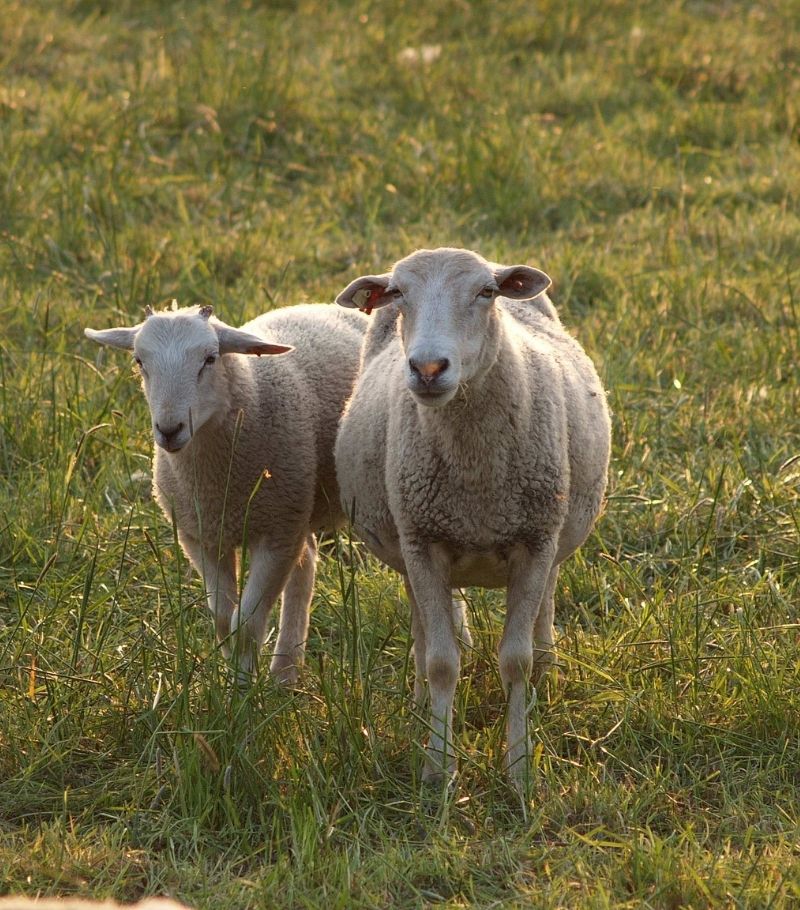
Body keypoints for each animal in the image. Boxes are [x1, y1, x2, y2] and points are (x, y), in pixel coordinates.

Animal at [85, 302, 367, 682]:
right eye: (139, 361)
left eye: (210, 358)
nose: (169, 429)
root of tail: (320, 305)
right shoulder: (200, 536)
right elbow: (222, 618)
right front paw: (235, 675)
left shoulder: (276, 535)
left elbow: (245, 624)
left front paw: (244, 688)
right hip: (296, 508)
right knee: (306, 562)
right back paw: (285, 673)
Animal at [334, 247, 611, 783]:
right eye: (397, 293)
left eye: (486, 292)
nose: (427, 368)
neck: (476, 481)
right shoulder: (422, 542)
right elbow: (442, 661)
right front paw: (437, 768)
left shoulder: (535, 541)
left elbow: (516, 661)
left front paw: (520, 770)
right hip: (409, 548)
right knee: (423, 632)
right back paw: (420, 706)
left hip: (555, 532)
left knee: (546, 606)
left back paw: (546, 679)